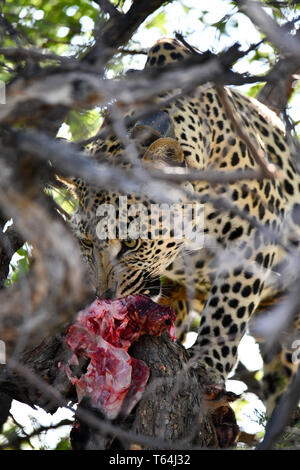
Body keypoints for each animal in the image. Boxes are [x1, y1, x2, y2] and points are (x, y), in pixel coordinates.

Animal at [67, 38, 300, 416]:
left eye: (130, 244)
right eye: (86, 243)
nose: (105, 297)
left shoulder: (253, 237)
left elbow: (227, 311)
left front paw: (207, 364)